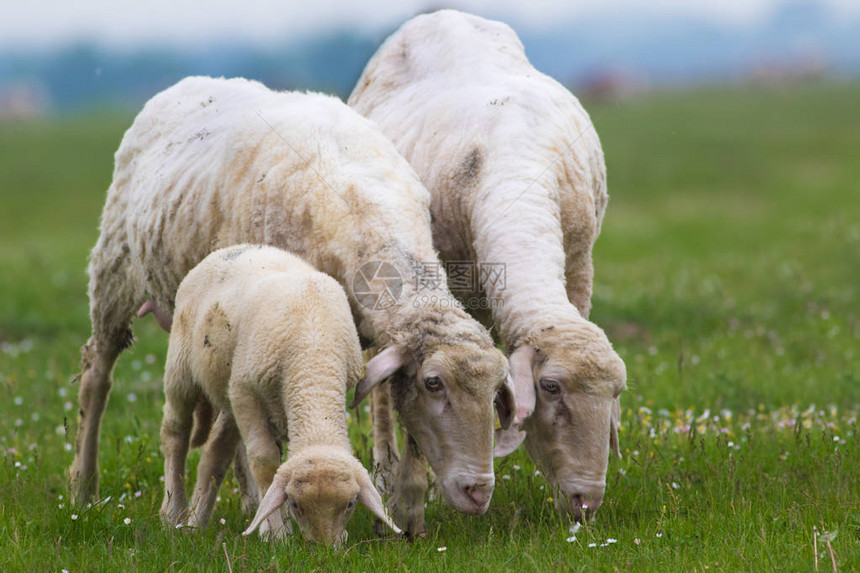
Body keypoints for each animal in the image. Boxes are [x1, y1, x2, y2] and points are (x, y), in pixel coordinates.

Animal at [158, 244, 400, 544]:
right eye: (295, 504)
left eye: (351, 504)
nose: (324, 548)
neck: (313, 355)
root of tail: (230, 248)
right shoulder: (244, 390)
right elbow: (264, 461)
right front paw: (275, 533)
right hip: (182, 368)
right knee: (174, 433)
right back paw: (172, 512)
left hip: (226, 390)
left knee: (215, 452)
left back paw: (195, 522)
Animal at [348, 8, 624, 520]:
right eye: (550, 388)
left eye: (616, 394)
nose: (586, 502)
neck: (520, 170)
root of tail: (442, 15)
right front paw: (413, 489)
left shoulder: (580, 270)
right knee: (379, 382)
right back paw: (385, 466)